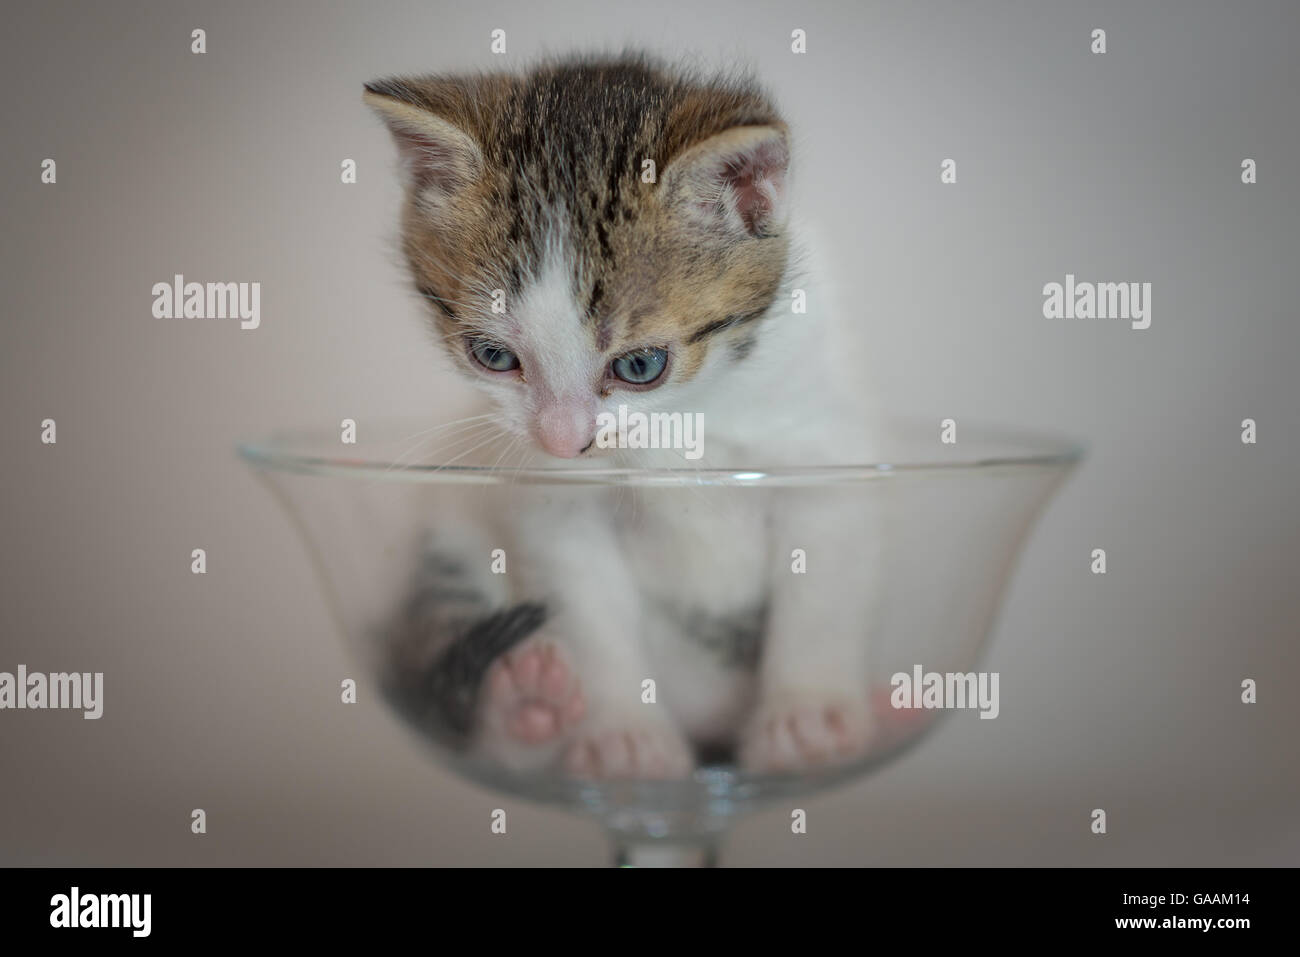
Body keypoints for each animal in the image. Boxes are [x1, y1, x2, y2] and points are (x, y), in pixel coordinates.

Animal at [364, 52, 883, 774]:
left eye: (640, 366)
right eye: (492, 355)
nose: (562, 441)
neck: (680, 423)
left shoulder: (820, 448)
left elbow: (822, 588)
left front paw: (807, 717)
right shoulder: (556, 503)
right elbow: (588, 608)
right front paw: (624, 734)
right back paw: (524, 704)